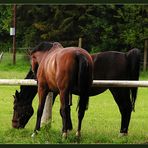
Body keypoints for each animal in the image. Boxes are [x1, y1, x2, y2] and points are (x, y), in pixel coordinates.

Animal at [12, 41, 140, 136]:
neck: (47, 59)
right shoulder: (63, 92)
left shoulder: (51, 91)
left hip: (119, 90)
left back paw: (122, 132)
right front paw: (68, 128)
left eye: (15, 107)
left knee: (125, 108)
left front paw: (38, 131)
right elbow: (65, 109)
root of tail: (126, 56)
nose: (14, 125)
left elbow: (47, 110)